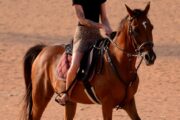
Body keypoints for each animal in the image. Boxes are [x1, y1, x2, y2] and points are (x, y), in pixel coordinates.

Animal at [21, 2, 156, 120]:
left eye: (151, 27)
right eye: (136, 29)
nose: (150, 56)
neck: (118, 64)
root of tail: (44, 49)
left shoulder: (129, 102)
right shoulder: (107, 104)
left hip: (70, 102)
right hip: (40, 98)